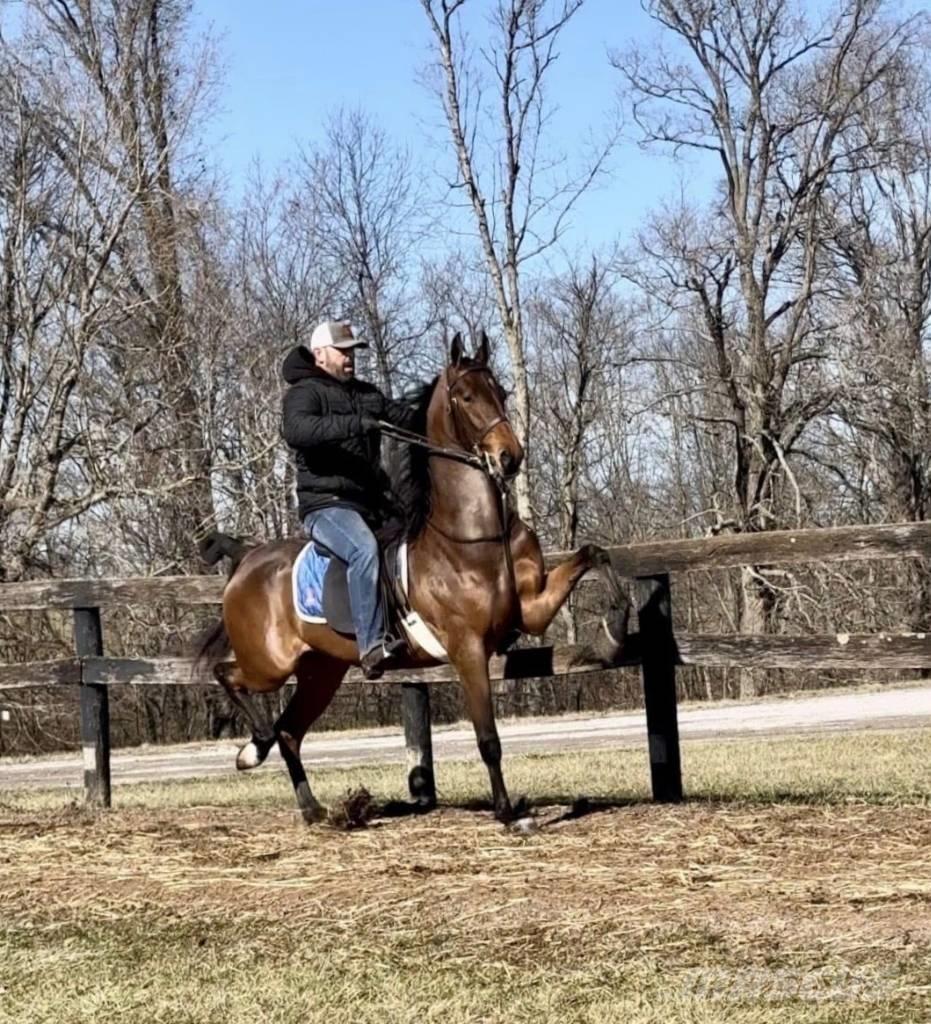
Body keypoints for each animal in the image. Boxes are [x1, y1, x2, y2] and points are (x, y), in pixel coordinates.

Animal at [196, 331, 629, 826]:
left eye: (500, 392)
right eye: (466, 396)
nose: (509, 457)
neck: (472, 536)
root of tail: (246, 557)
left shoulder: (532, 607)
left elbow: (594, 554)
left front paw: (613, 633)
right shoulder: (467, 650)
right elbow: (488, 739)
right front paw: (507, 814)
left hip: (320, 671)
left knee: (290, 732)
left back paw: (314, 808)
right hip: (269, 664)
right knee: (229, 676)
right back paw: (253, 749)